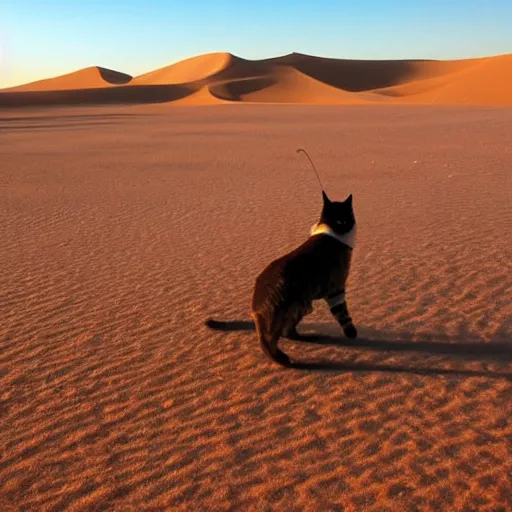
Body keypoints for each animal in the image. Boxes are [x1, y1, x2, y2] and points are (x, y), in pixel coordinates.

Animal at [251, 190, 358, 366]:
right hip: (291, 308)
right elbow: (342, 313)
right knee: (270, 340)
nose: (345, 226)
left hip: (298, 307)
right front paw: (351, 332)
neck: (332, 230)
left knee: (286, 332)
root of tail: (256, 305)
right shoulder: (336, 289)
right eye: (345, 218)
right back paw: (282, 359)